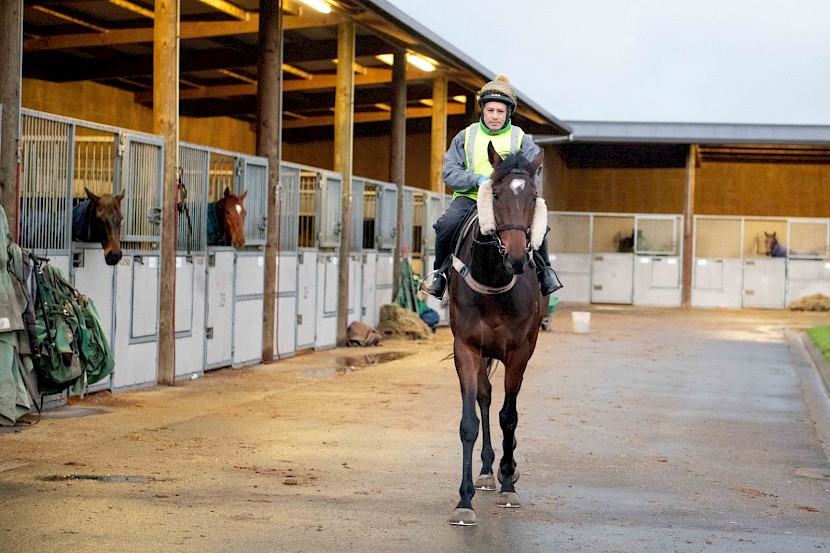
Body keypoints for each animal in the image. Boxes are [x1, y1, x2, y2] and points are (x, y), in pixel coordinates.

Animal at [448, 142, 552, 528]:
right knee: (485, 396)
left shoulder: (519, 351)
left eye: (533, 195)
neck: (494, 280)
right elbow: (470, 422)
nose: (519, 256)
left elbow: (510, 416)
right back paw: (486, 470)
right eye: (494, 193)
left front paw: (509, 484)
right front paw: (465, 500)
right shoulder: (466, 348)